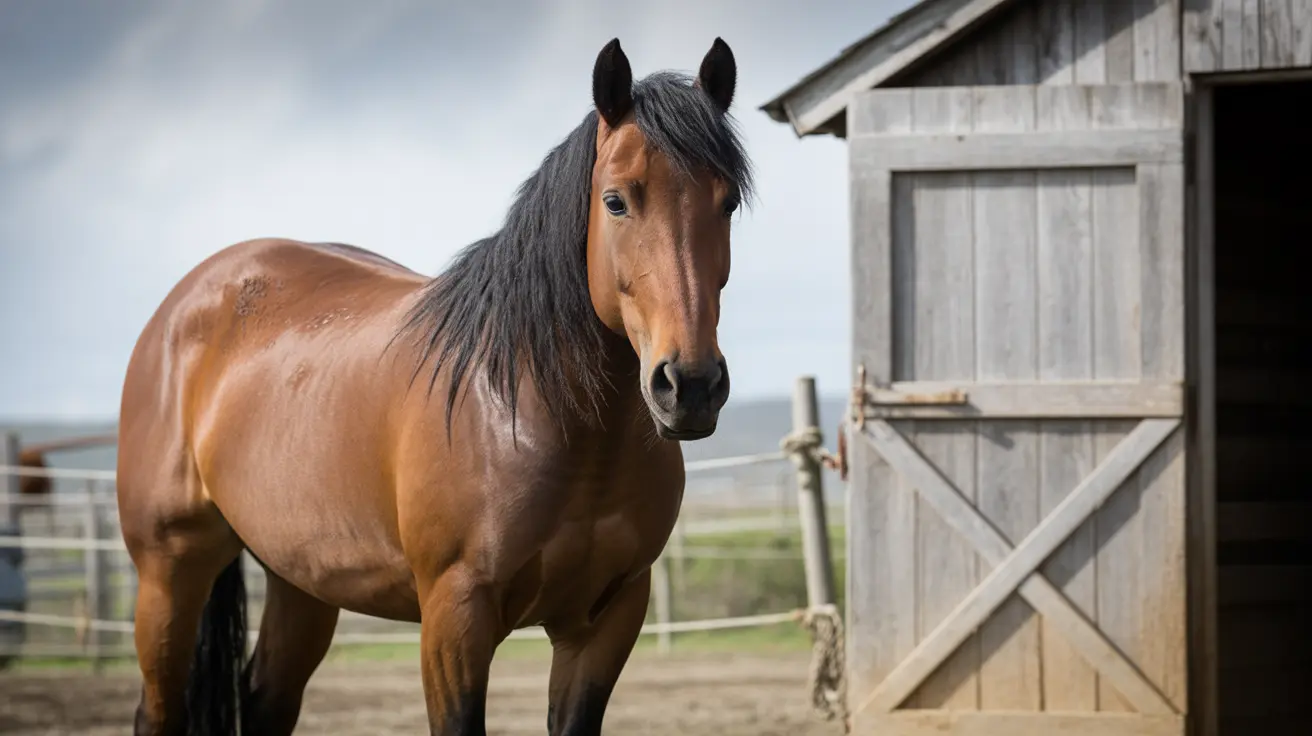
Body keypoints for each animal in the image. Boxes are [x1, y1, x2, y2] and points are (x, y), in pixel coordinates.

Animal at [116, 37, 753, 736]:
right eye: (616, 200)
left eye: (727, 203)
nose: (690, 385)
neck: (535, 412)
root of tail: (185, 303)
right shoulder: (454, 621)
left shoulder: (605, 622)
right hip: (170, 570)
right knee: (158, 706)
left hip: (301, 580)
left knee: (265, 698)